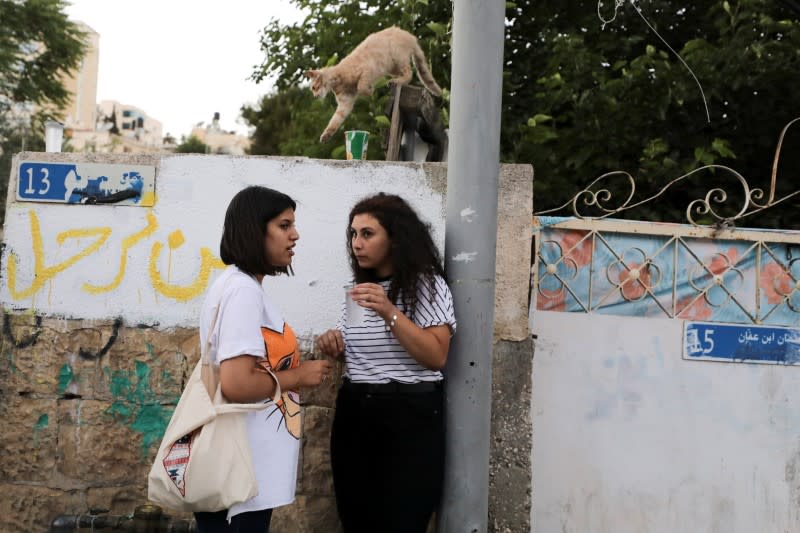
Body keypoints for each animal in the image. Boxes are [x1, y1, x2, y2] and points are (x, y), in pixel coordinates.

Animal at [306, 26, 444, 142]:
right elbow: (335, 120)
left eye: (314, 87)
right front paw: (326, 135)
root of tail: (410, 36)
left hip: (397, 58)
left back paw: (397, 81)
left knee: (409, 73)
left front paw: (370, 90)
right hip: (392, 67)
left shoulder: (367, 70)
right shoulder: (345, 103)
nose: (314, 96)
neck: (338, 79)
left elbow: (362, 87)